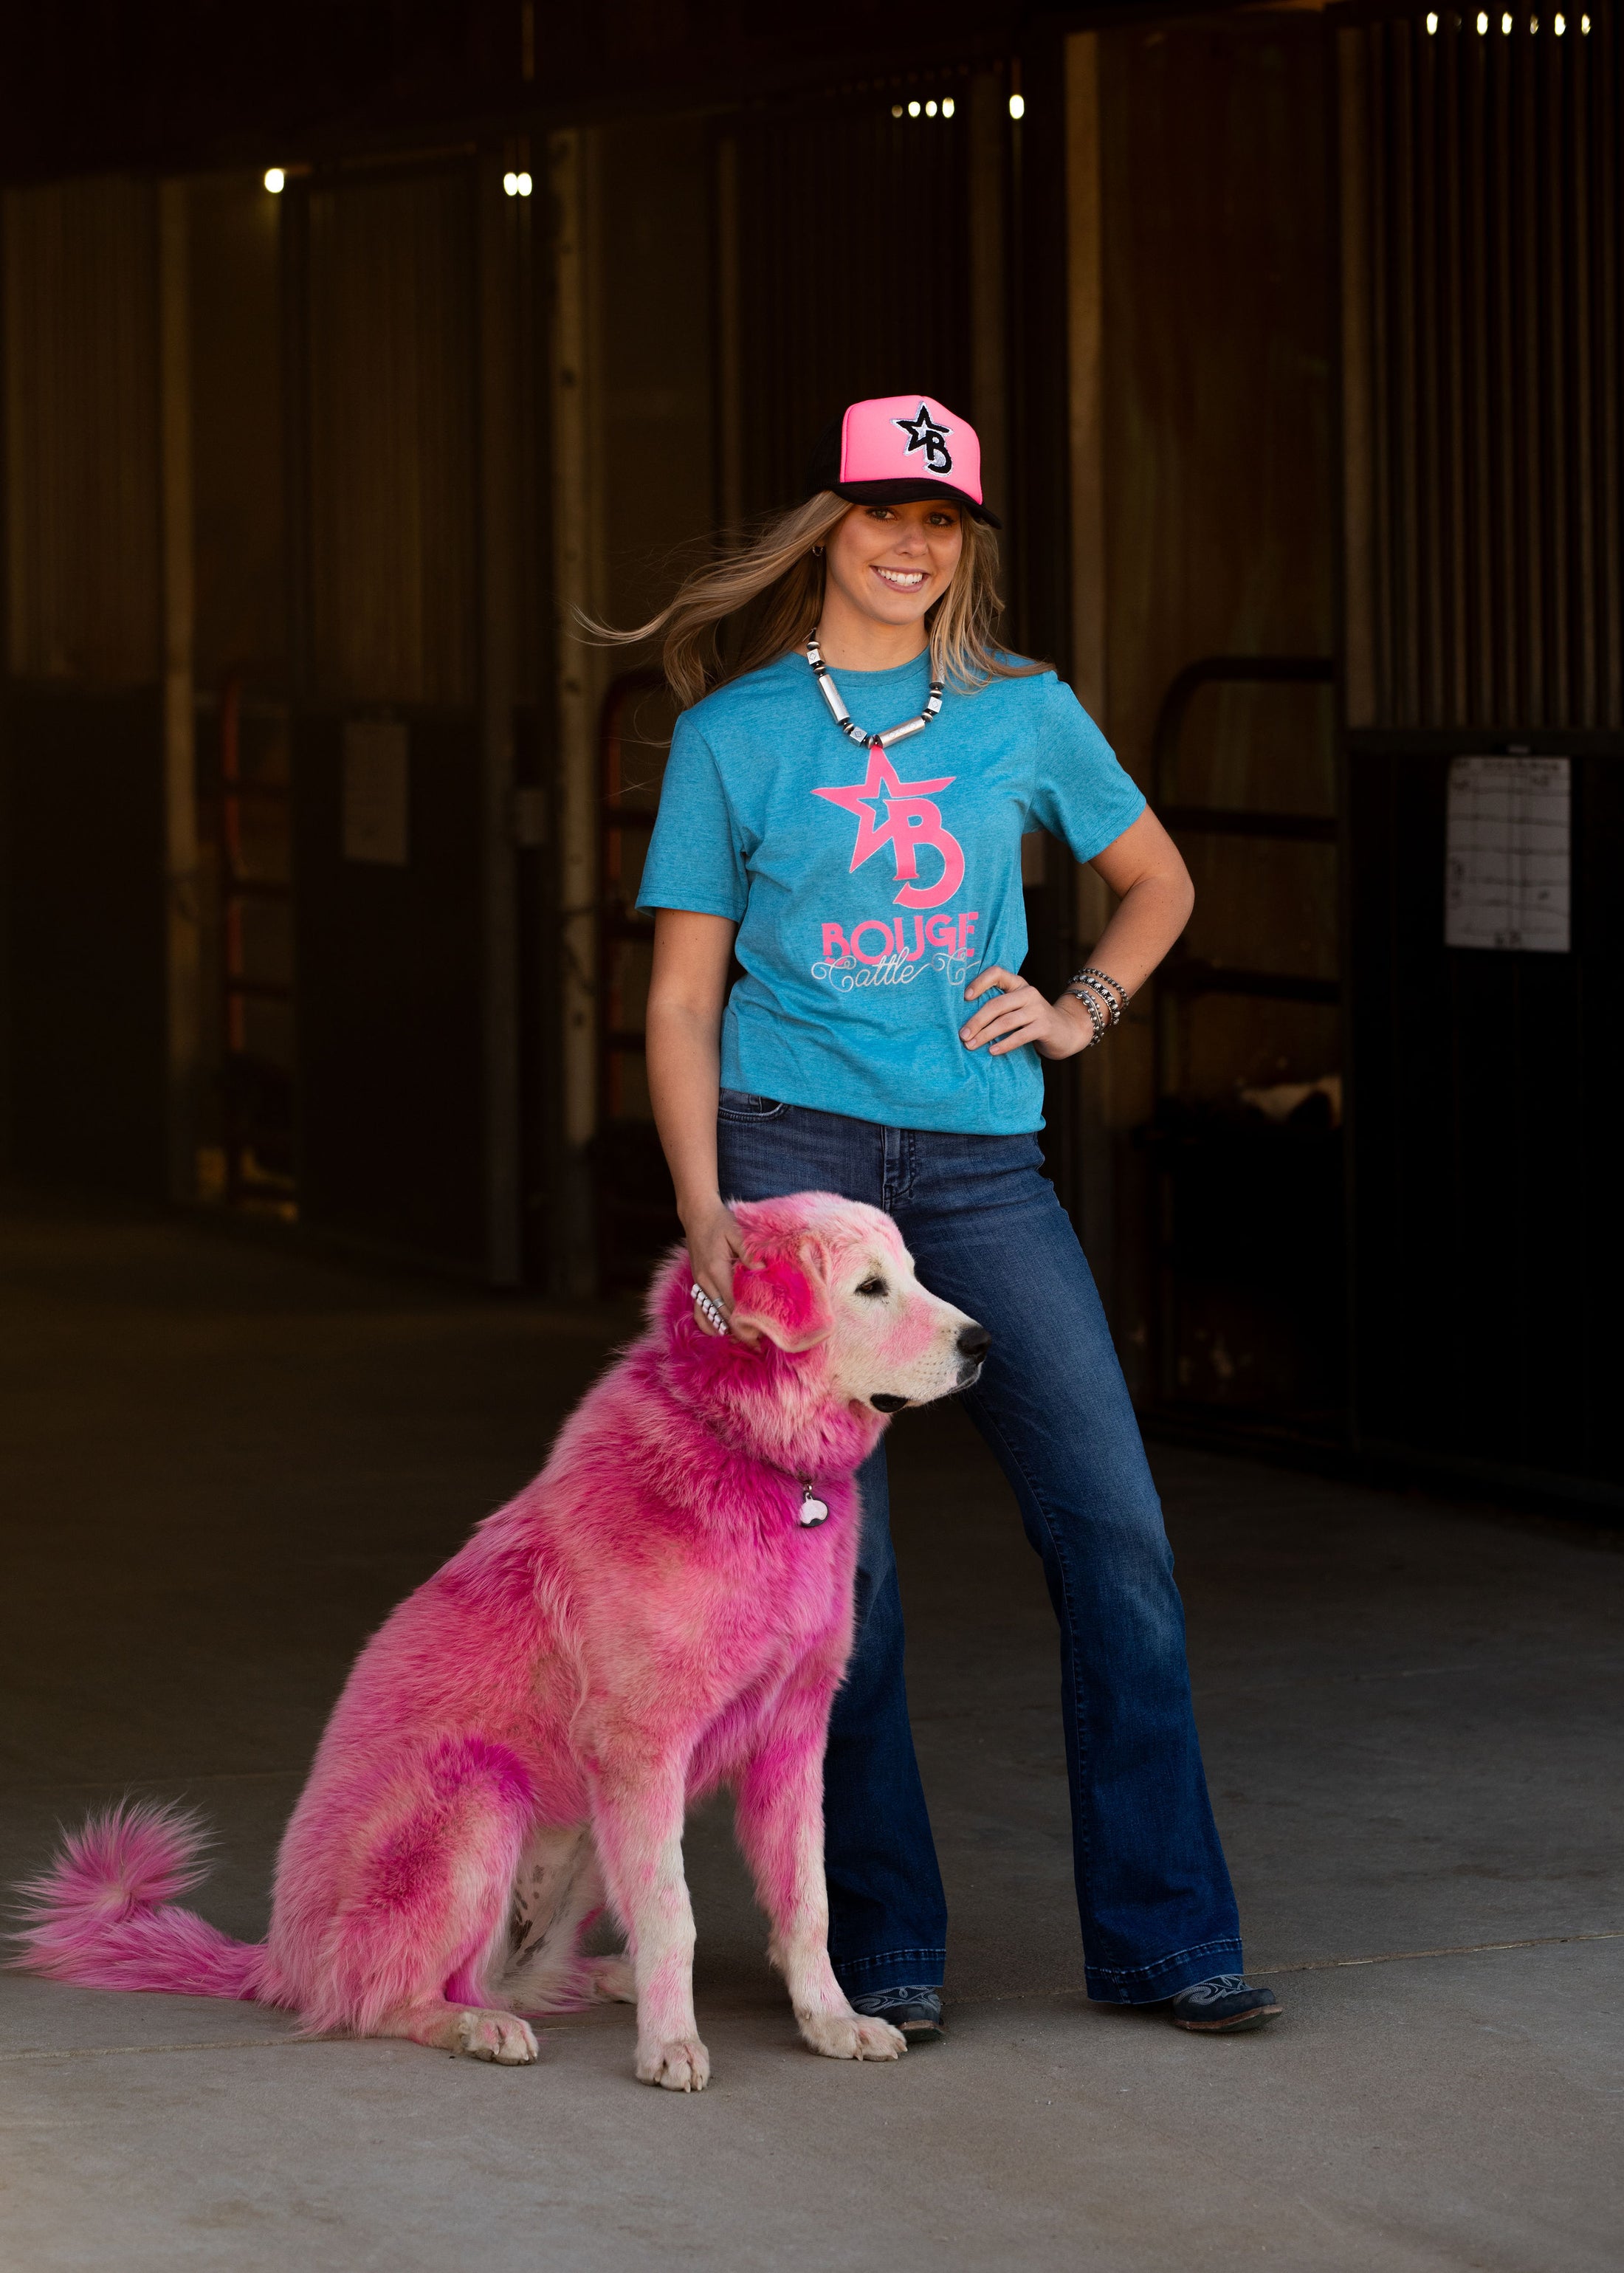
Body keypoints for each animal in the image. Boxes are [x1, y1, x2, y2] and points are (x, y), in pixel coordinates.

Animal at [16, 1191, 990, 2091]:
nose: (982, 1344)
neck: (746, 1452)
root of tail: (276, 1959)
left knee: (507, 1975)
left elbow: (807, 1901)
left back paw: (592, 1979)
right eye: (869, 1287)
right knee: (382, 1998)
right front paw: (671, 2046)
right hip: (480, 1794)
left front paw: (830, 2021)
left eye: (912, 1273)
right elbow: (671, 1911)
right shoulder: (639, 1749)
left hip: (580, 1836)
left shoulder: (791, 1734)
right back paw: (477, 2026)